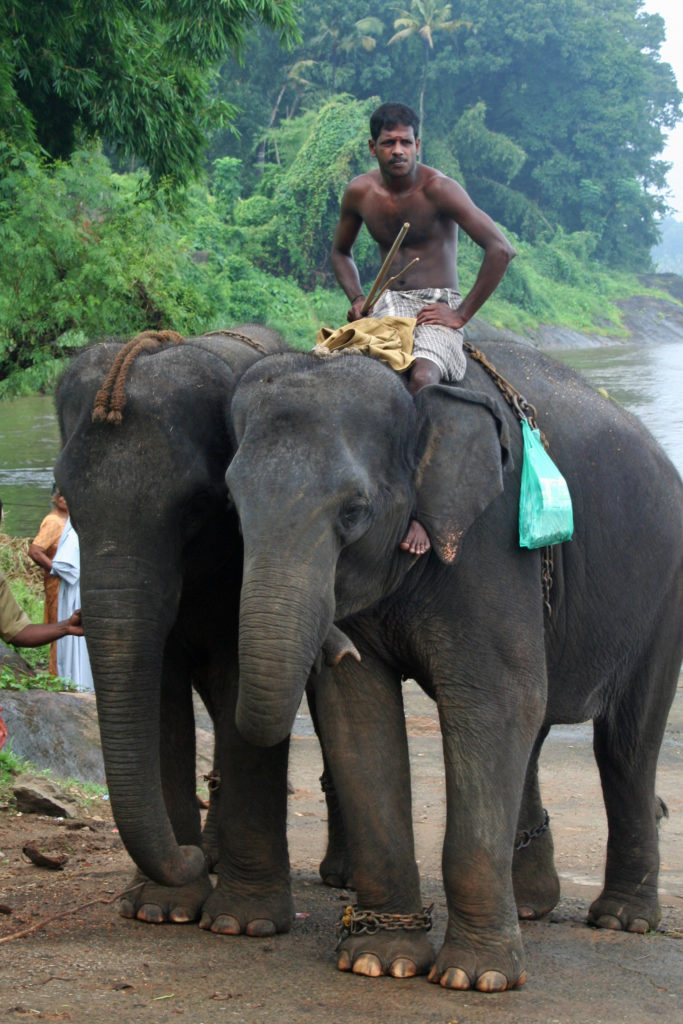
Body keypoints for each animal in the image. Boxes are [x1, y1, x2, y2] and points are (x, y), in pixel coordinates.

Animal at [54, 325, 322, 935]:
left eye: (200, 504)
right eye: (65, 498)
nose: (188, 856)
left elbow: (243, 677)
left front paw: (241, 924)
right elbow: (160, 691)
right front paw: (159, 909)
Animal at [224, 341, 683, 991]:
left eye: (355, 511)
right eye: (231, 503)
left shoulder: (491, 541)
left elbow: (496, 699)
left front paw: (476, 978)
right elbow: (356, 710)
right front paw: (380, 961)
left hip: (665, 592)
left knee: (626, 742)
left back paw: (623, 919)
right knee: (540, 732)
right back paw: (531, 906)